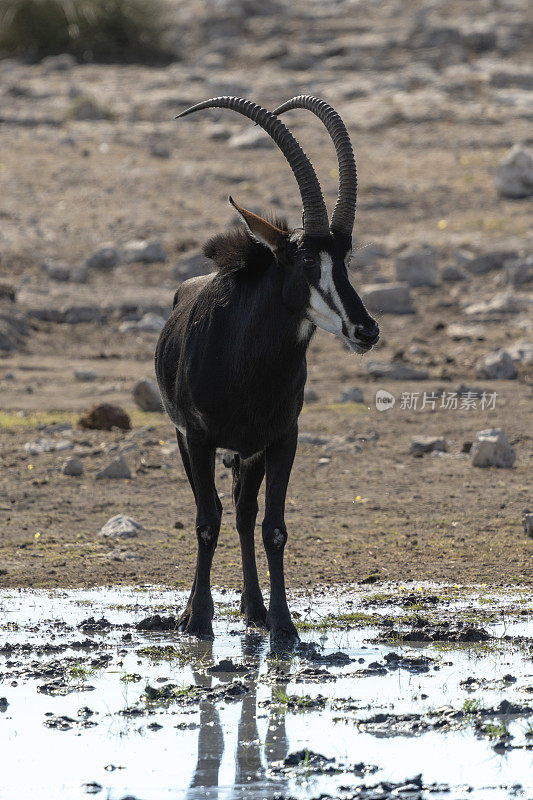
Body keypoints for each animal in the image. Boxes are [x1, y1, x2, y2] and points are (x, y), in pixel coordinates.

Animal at [154, 97, 378, 648]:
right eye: (304, 262)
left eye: (345, 260)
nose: (366, 330)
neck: (248, 368)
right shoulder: (198, 439)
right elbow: (205, 521)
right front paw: (198, 620)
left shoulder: (282, 439)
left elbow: (272, 527)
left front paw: (283, 626)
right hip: (190, 442)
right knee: (217, 513)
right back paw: (197, 610)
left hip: (248, 452)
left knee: (243, 512)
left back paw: (253, 609)